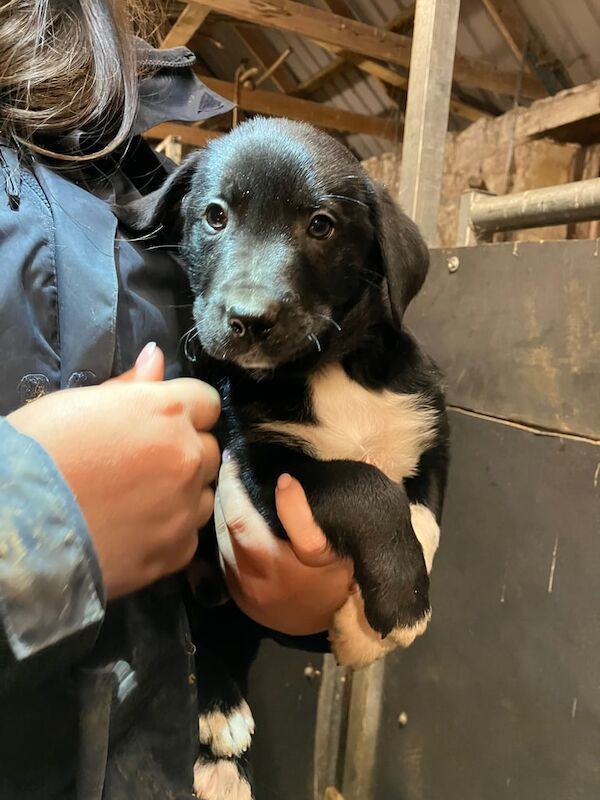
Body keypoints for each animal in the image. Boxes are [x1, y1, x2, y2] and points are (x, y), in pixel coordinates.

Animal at [119, 119, 448, 800]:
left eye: (321, 225)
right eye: (215, 216)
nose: (248, 318)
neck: (328, 366)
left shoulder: (430, 440)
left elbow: (423, 519)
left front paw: (362, 628)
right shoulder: (261, 469)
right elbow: (363, 485)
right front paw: (401, 606)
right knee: (203, 629)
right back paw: (218, 723)